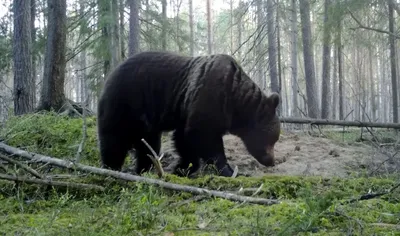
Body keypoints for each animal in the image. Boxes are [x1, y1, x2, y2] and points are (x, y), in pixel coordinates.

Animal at [96, 51, 282, 177]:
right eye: (273, 139)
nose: (271, 161)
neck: (236, 102)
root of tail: (110, 74)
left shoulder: (187, 110)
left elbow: (184, 139)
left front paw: (182, 167)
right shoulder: (211, 97)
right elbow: (203, 137)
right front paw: (228, 170)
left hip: (146, 121)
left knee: (149, 146)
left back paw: (144, 168)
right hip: (125, 102)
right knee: (114, 140)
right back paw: (111, 167)